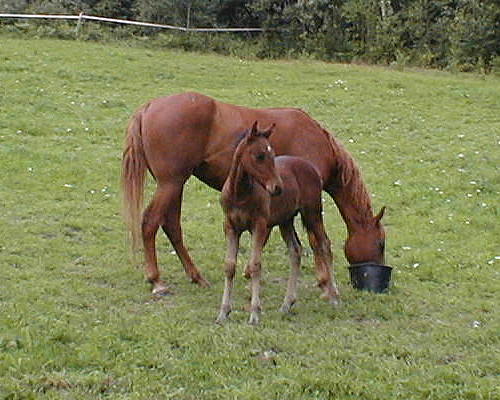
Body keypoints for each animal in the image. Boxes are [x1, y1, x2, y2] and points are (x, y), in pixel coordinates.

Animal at [122, 92, 386, 296]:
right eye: (380, 243)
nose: (376, 279)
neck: (315, 139)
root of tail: (149, 106)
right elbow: (314, 239)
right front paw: (323, 282)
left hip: (174, 185)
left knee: (172, 226)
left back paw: (196, 276)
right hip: (170, 184)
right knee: (150, 223)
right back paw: (156, 281)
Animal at [215, 122, 340, 324]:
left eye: (273, 154)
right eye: (259, 155)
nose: (277, 188)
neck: (240, 193)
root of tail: (311, 167)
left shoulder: (259, 225)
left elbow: (255, 265)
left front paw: (254, 314)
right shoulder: (230, 227)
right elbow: (229, 266)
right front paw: (223, 313)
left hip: (312, 213)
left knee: (324, 245)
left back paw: (334, 297)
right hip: (285, 220)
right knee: (295, 251)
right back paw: (287, 304)